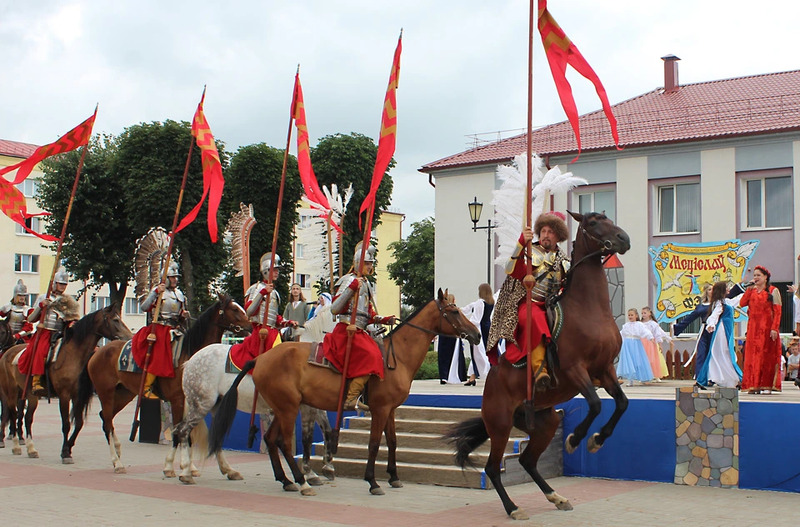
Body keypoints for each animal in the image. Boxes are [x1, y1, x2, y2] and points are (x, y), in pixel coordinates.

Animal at [0, 306, 131, 462]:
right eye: (115, 320)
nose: (129, 337)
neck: (72, 355)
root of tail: (7, 353)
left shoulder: (77, 396)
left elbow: (79, 423)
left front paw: (68, 448)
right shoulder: (64, 395)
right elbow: (66, 424)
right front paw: (65, 452)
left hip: (29, 394)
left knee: (27, 417)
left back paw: (31, 448)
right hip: (11, 391)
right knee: (13, 414)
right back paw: (16, 446)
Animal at [83, 294, 248, 476]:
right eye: (234, 309)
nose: (250, 326)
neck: (192, 356)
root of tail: (98, 352)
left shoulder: (196, 403)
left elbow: (192, 433)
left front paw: (193, 467)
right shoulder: (178, 400)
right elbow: (179, 432)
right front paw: (172, 466)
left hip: (123, 394)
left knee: (106, 418)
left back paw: (118, 453)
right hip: (105, 393)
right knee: (106, 421)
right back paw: (117, 462)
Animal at [208, 290, 482, 498]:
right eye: (454, 312)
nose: (477, 334)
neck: (398, 357)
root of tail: (261, 359)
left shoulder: (391, 409)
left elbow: (393, 441)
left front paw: (394, 477)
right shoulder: (380, 409)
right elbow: (373, 444)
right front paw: (373, 481)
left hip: (282, 407)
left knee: (271, 439)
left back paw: (286, 480)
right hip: (288, 408)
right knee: (283, 442)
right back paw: (301, 482)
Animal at [444, 212, 632, 520]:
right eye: (592, 222)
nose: (623, 239)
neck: (589, 309)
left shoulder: (605, 370)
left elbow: (622, 403)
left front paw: (597, 439)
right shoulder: (575, 370)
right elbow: (595, 405)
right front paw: (575, 439)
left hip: (545, 423)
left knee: (527, 460)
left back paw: (557, 497)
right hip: (500, 423)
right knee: (493, 468)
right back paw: (514, 508)